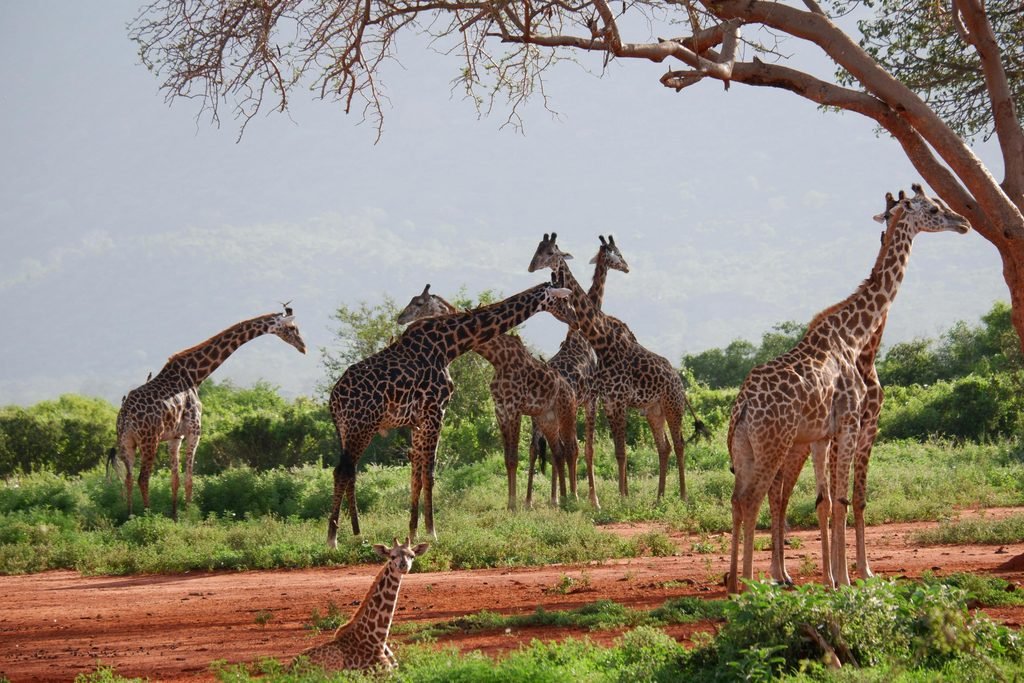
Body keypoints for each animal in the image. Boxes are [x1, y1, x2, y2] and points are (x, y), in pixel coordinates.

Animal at [113, 308, 307, 518]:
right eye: (292, 327)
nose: (303, 347)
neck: (194, 375)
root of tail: (125, 416)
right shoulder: (194, 431)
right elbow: (189, 479)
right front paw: (189, 516)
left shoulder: (176, 437)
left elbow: (175, 479)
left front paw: (175, 516)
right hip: (149, 440)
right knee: (143, 478)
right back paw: (147, 516)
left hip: (126, 442)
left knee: (128, 478)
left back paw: (129, 516)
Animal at [395, 284, 578, 509]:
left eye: (419, 303)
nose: (401, 318)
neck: (497, 358)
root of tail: (570, 390)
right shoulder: (500, 409)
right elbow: (508, 459)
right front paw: (511, 504)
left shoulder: (514, 408)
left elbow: (514, 457)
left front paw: (514, 506)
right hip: (546, 418)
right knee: (558, 451)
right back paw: (561, 500)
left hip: (567, 412)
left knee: (571, 449)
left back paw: (576, 498)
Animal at [528, 233, 692, 506]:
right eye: (539, 250)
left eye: (550, 251)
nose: (626, 266)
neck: (601, 342)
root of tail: (678, 380)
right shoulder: (607, 400)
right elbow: (612, 450)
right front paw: (616, 496)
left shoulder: (611, 400)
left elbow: (611, 450)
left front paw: (616, 497)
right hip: (653, 410)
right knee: (665, 446)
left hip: (670, 404)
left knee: (677, 444)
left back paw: (680, 496)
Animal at [727, 185, 970, 593]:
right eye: (935, 209)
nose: (964, 222)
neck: (855, 337)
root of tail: (743, 407)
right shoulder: (852, 423)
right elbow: (843, 499)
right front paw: (846, 578)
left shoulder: (826, 432)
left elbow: (829, 500)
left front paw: (837, 578)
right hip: (775, 442)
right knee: (755, 499)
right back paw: (750, 584)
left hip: (745, 448)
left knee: (737, 499)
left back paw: (734, 582)